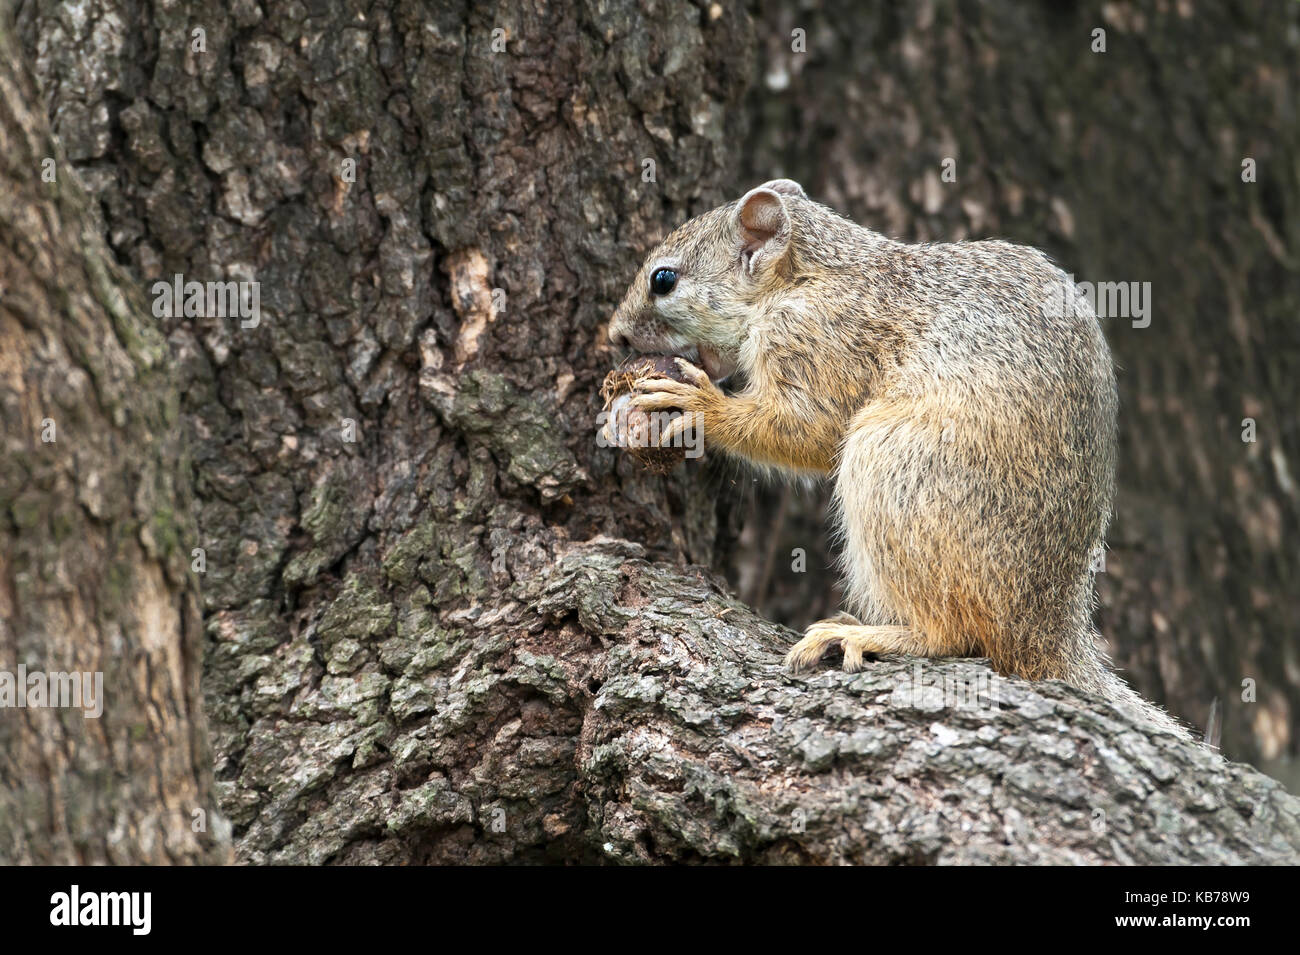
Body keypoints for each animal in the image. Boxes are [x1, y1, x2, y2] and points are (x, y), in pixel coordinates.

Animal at [608, 180, 1190, 748]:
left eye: (664, 279)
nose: (615, 335)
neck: (802, 278)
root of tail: (1042, 626)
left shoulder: (820, 339)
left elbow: (806, 428)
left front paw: (701, 404)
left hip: (894, 469)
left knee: (953, 635)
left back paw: (865, 633)